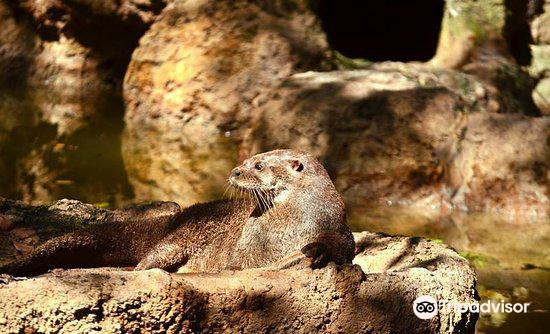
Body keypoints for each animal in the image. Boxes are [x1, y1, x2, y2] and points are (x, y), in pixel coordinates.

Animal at [0, 150, 356, 276]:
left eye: (258, 165)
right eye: (249, 159)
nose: (235, 170)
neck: (293, 220)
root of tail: (180, 217)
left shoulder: (336, 224)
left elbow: (344, 248)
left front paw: (318, 251)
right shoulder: (248, 242)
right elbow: (237, 263)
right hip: (183, 236)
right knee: (156, 254)